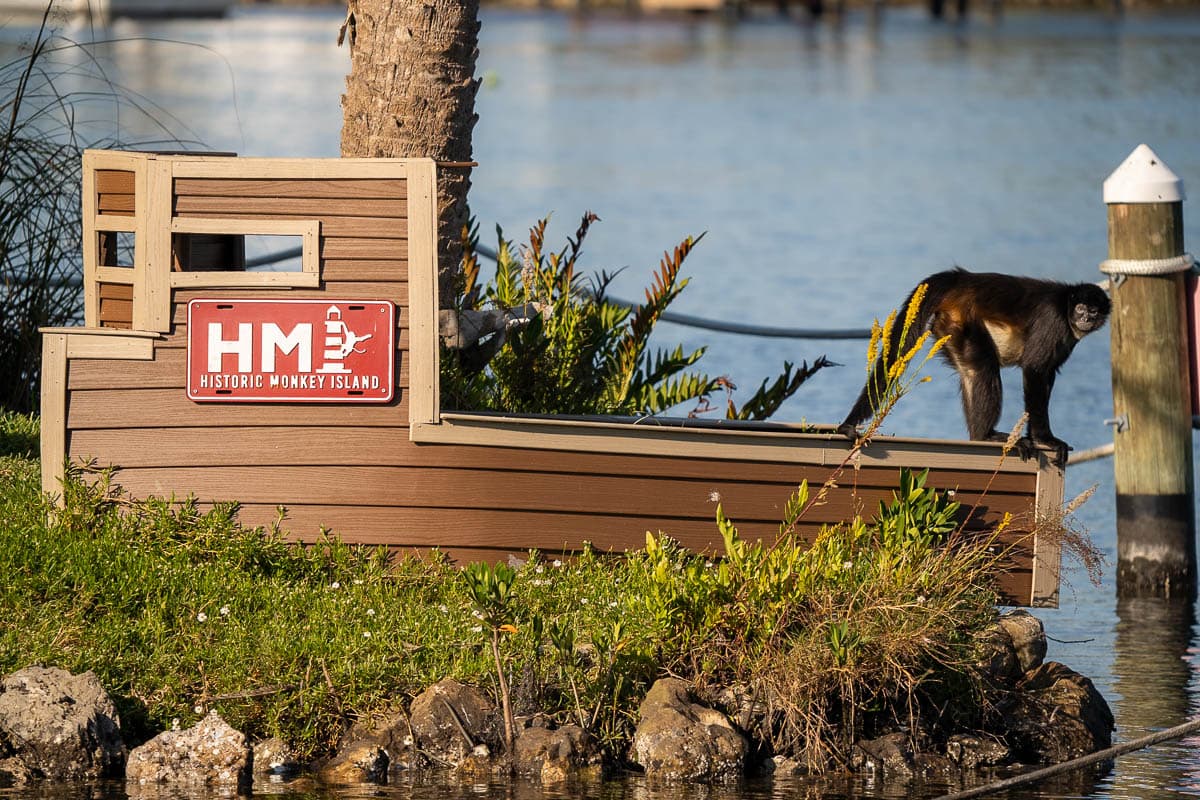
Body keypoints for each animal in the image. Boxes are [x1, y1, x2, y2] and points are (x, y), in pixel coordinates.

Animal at [837, 268, 1111, 466]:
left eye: (1094, 311)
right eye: (1081, 309)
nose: (1086, 318)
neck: (1066, 305)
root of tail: (962, 278)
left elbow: (1048, 373)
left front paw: (1037, 436)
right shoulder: (1053, 319)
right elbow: (1035, 369)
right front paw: (1045, 439)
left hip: (950, 328)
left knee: (972, 370)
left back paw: (981, 436)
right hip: (962, 319)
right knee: (983, 369)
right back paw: (988, 435)